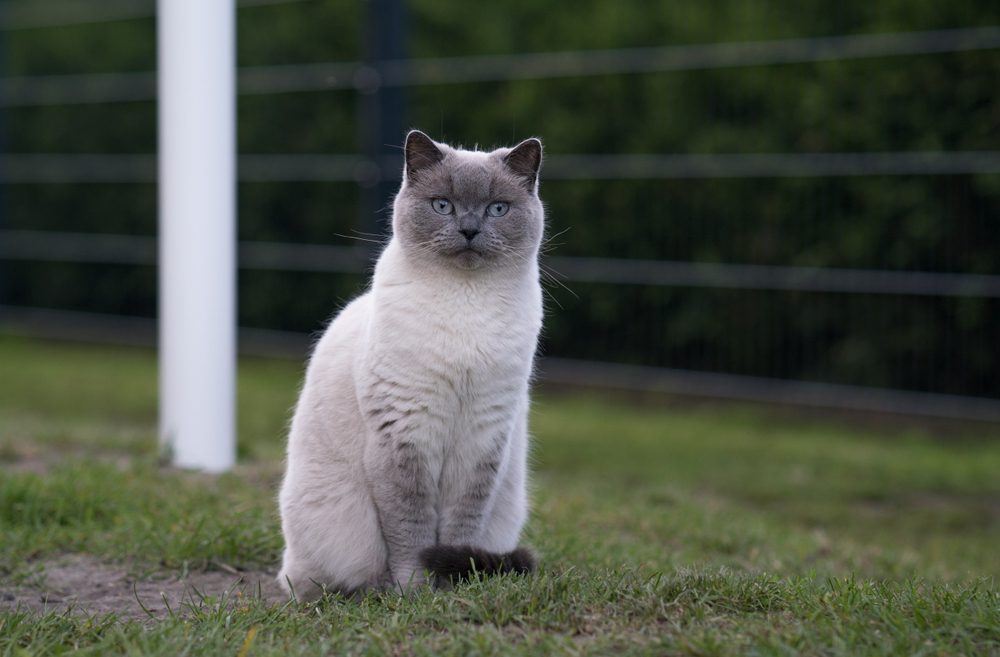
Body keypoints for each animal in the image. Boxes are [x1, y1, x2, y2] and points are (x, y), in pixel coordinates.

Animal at [278, 129, 548, 600]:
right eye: (443, 205)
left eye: (497, 209)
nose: (469, 230)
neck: (465, 304)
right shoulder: (404, 436)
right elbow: (410, 531)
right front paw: (416, 595)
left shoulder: (482, 441)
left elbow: (461, 528)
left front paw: (456, 588)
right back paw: (367, 593)